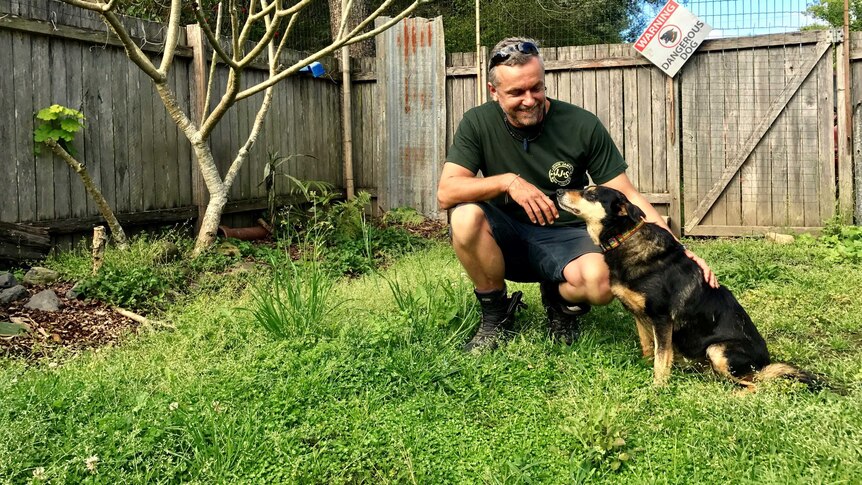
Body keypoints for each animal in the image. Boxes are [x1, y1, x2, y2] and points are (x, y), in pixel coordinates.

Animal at [556, 185, 820, 390]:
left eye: (591, 193)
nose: (557, 191)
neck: (624, 239)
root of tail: (765, 363)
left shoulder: (662, 319)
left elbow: (661, 358)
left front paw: (658, 387)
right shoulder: (639, 315)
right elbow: (648, 347)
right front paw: (644, 368)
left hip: (718, 350)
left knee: (754, 386)